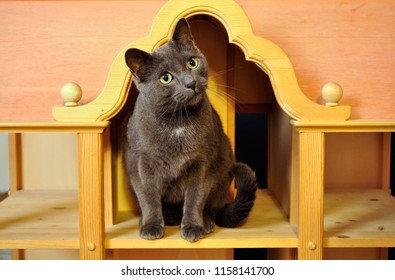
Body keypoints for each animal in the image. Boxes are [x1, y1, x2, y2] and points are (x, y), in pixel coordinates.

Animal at [124, 18, 260, 242]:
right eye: (165, 78)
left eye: (192, 63)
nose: (191, 82)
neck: (178, 122)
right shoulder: (143, 164)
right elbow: (149, 198)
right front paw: (151, 226)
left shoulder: (202, 163)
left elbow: (195, 197)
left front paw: (193, 227)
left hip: (223, 168)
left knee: (211, 205)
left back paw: (206, 222)